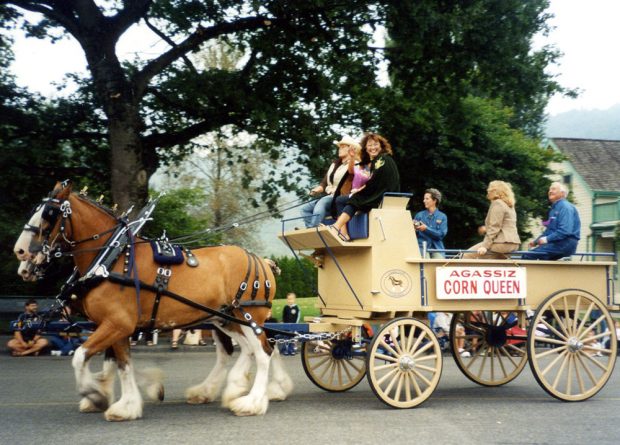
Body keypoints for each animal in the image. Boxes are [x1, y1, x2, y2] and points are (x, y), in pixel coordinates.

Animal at [12, 180, 294, 420]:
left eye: (49, 214)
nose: (20, 252)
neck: (112, 256)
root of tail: (262, 261)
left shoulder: (117, 324)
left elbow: (81, 356)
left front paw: (96, 394)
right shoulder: (115, 326)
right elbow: (120, 363)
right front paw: (125, 402)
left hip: (248, 316)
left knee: (263, 351)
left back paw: (253, 401)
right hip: (225, 318)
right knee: (245, 349)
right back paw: (226, 390)